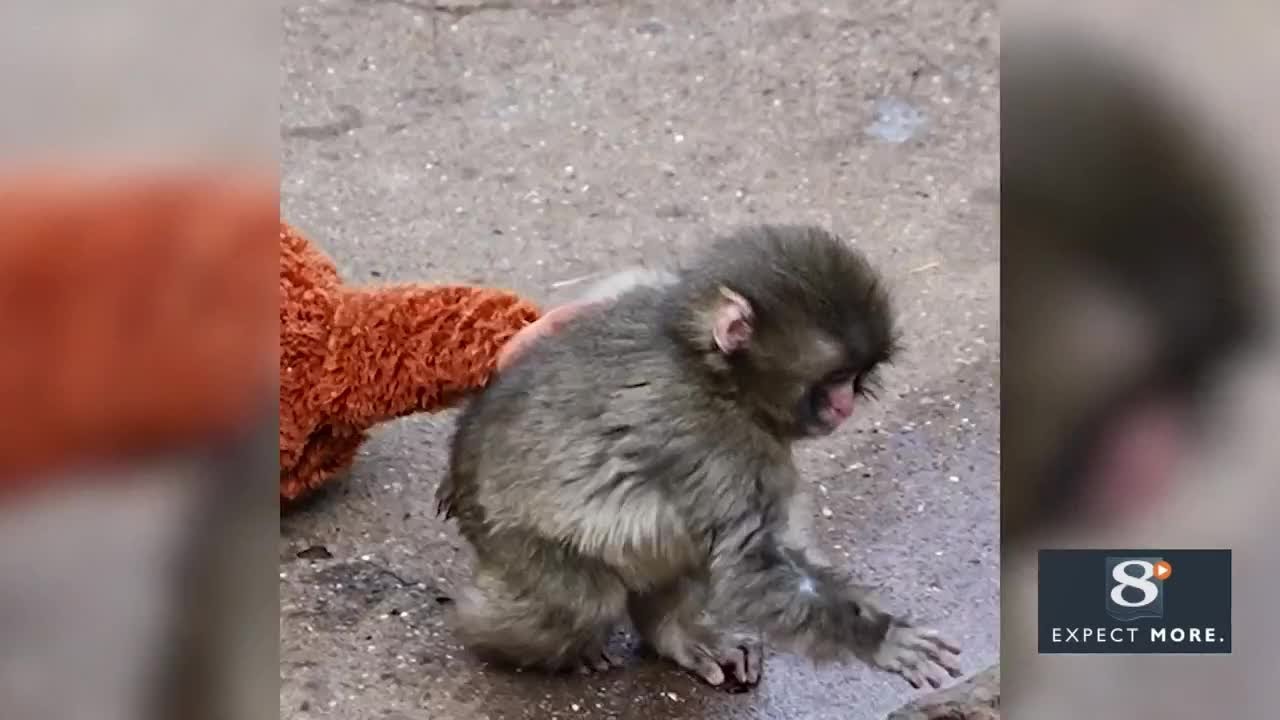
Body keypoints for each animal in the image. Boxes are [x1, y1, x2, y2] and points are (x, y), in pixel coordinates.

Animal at [436, 224, 963, 691]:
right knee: (581, 601)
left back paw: (673, 634)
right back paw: (494, 631)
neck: (712, 372)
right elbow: (749, 567)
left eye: (856, 378)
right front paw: (881, 637)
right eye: (835, 378)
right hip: (511, 539)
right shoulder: (721, 446)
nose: (844, 405)